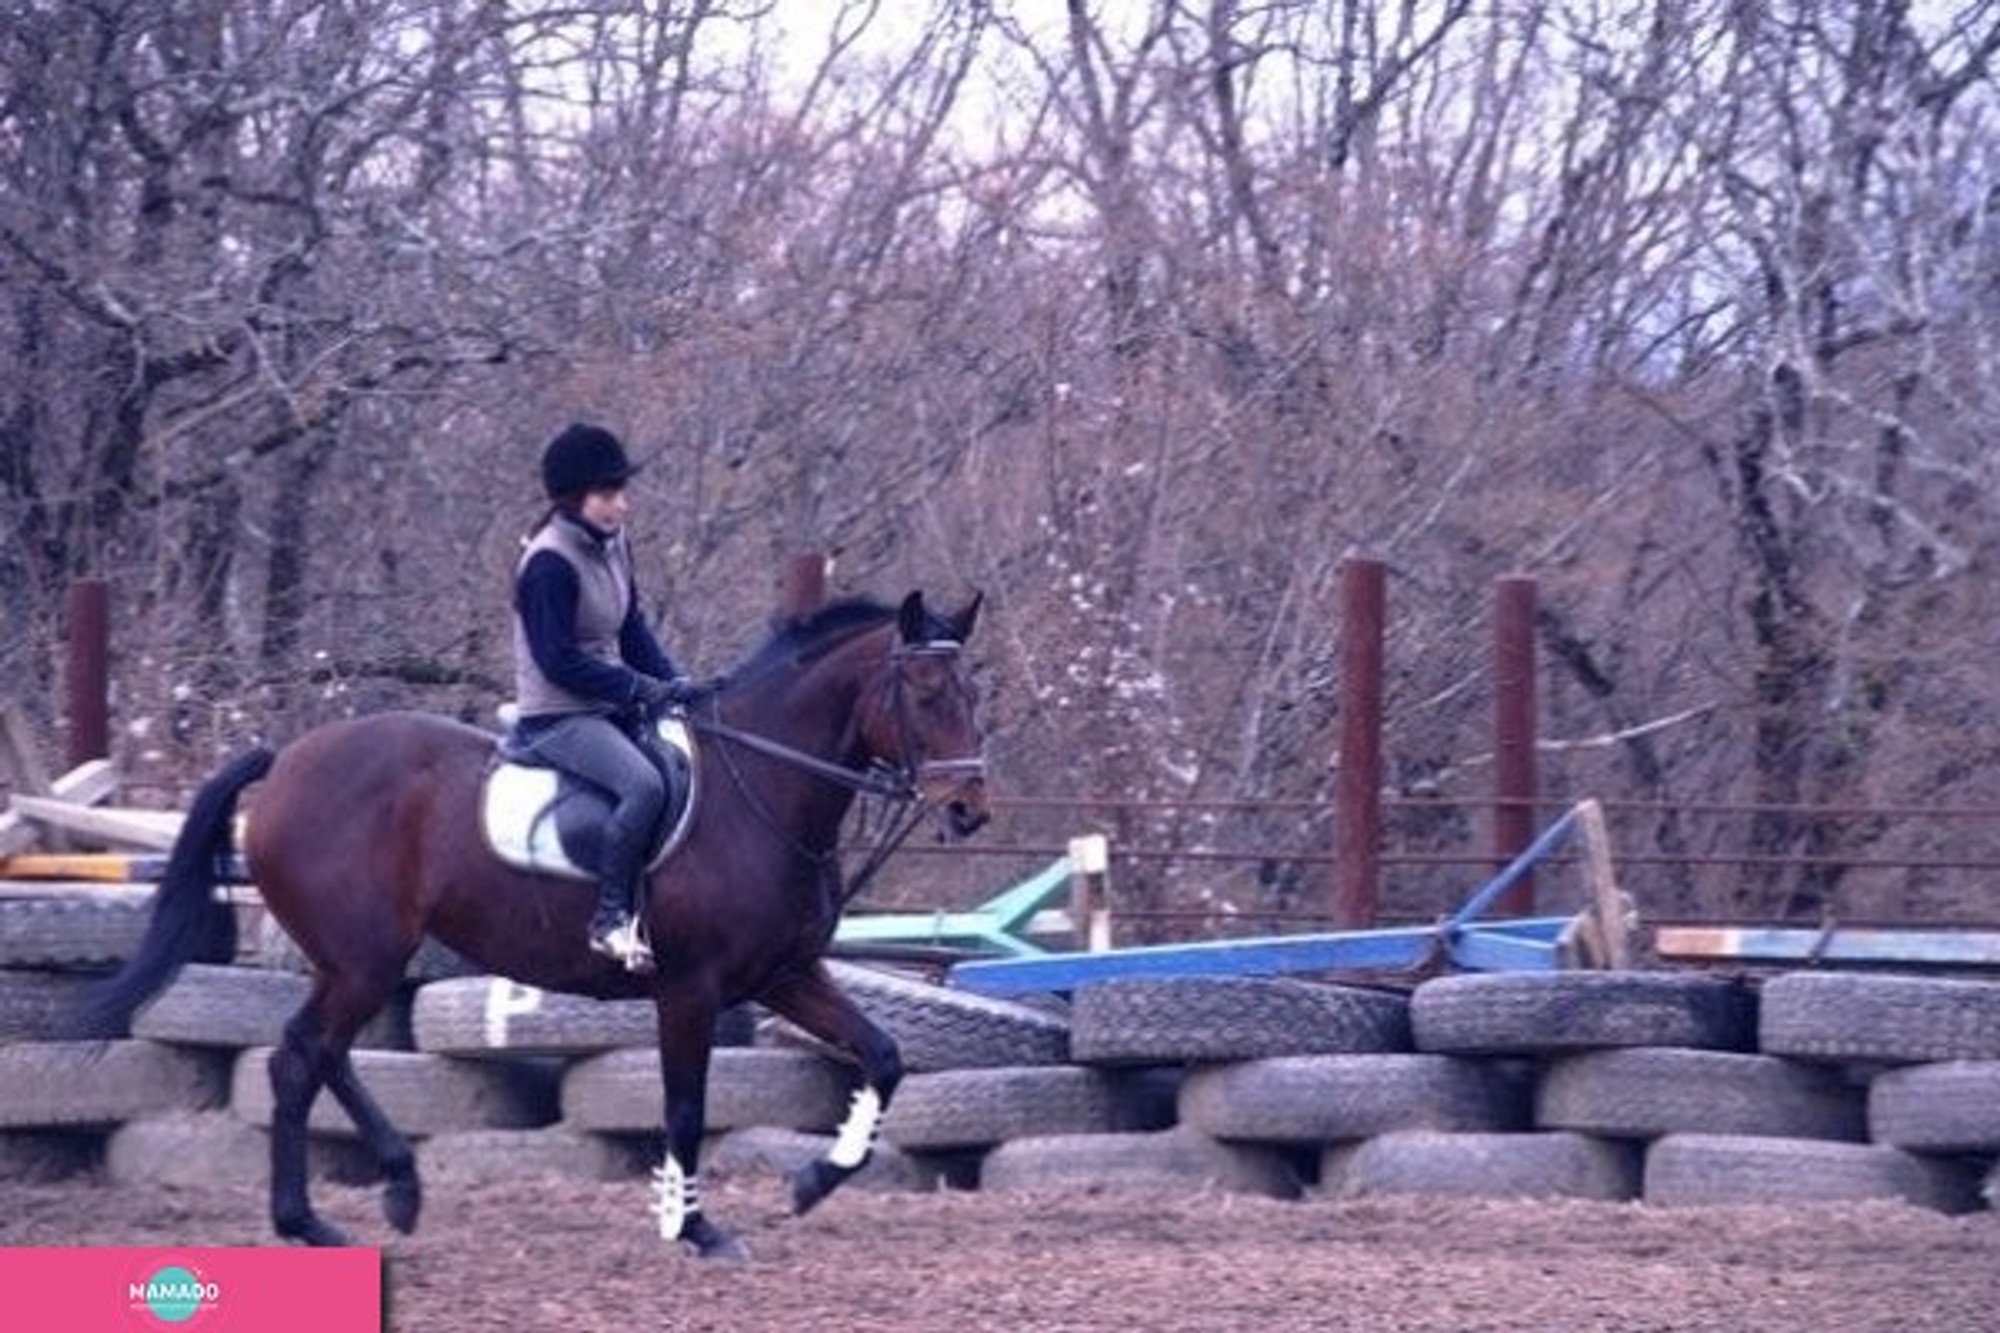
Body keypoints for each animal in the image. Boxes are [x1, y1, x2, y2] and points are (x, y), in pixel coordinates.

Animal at [86, 588, 992, 1248]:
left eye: (972, 690)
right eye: (923, 690)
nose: (969, 808)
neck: (762, 788)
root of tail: (285, 762)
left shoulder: (784, 974)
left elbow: (885, 1056)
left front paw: (811, 1180)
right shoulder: (691, 989)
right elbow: (685, 1108)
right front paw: (693, 1227)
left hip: (357, 962)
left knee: (318, 1053)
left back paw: (389, 1191)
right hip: (364, 959)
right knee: (301, 1056)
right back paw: (308, 1219)